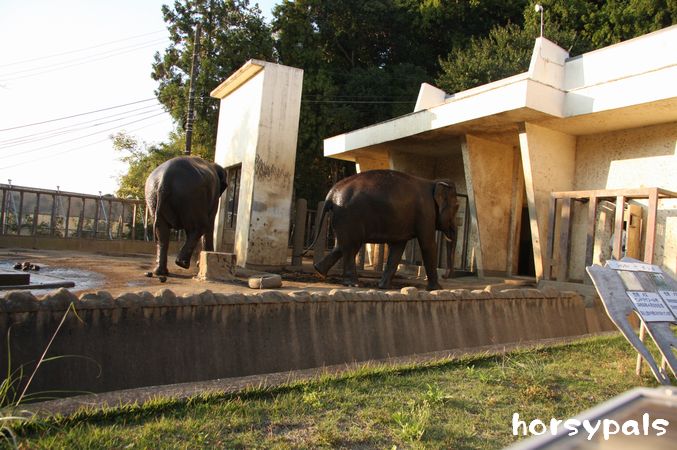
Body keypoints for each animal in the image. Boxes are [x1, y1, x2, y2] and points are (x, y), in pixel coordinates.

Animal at [312, 170, 460, 292]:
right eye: (457, 207)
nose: (445, 276)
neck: (434, 182)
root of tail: (332, 193)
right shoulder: (426, 212)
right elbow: (428, 244)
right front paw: (437, 289)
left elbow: (397, 248)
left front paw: (383, 287)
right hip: (349, 217)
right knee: (351, 247)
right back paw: (353, 284)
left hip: (342, 219)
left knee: (341, 246)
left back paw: (319, 271)